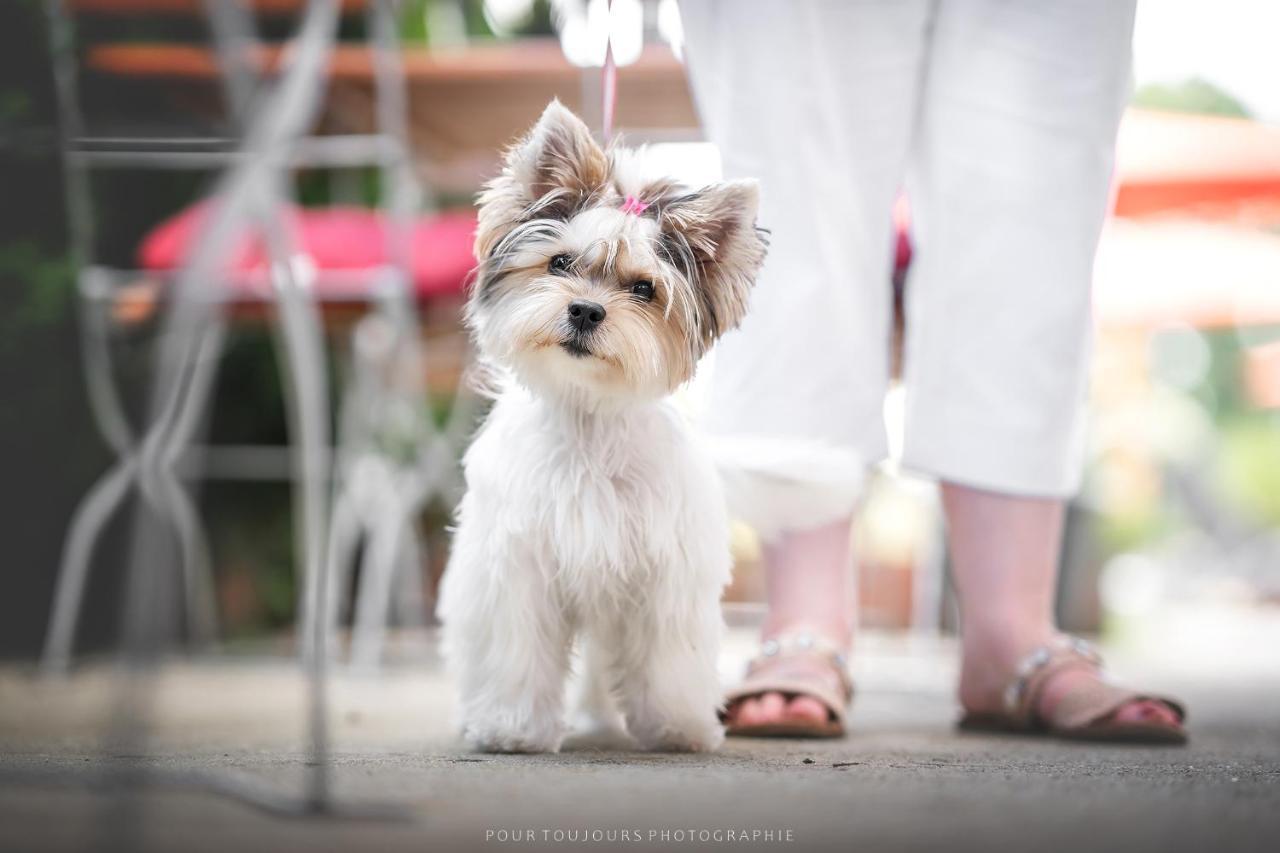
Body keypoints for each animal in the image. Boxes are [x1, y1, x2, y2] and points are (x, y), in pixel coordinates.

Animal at [435, 101, 762, 753]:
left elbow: (669, 652)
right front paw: (512, 727)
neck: (589, 416)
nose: (585, 310)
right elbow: (516, 649)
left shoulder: (665, 568)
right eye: (559, 262)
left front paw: (676, 725)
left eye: (644, 289)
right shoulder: (518, 565)